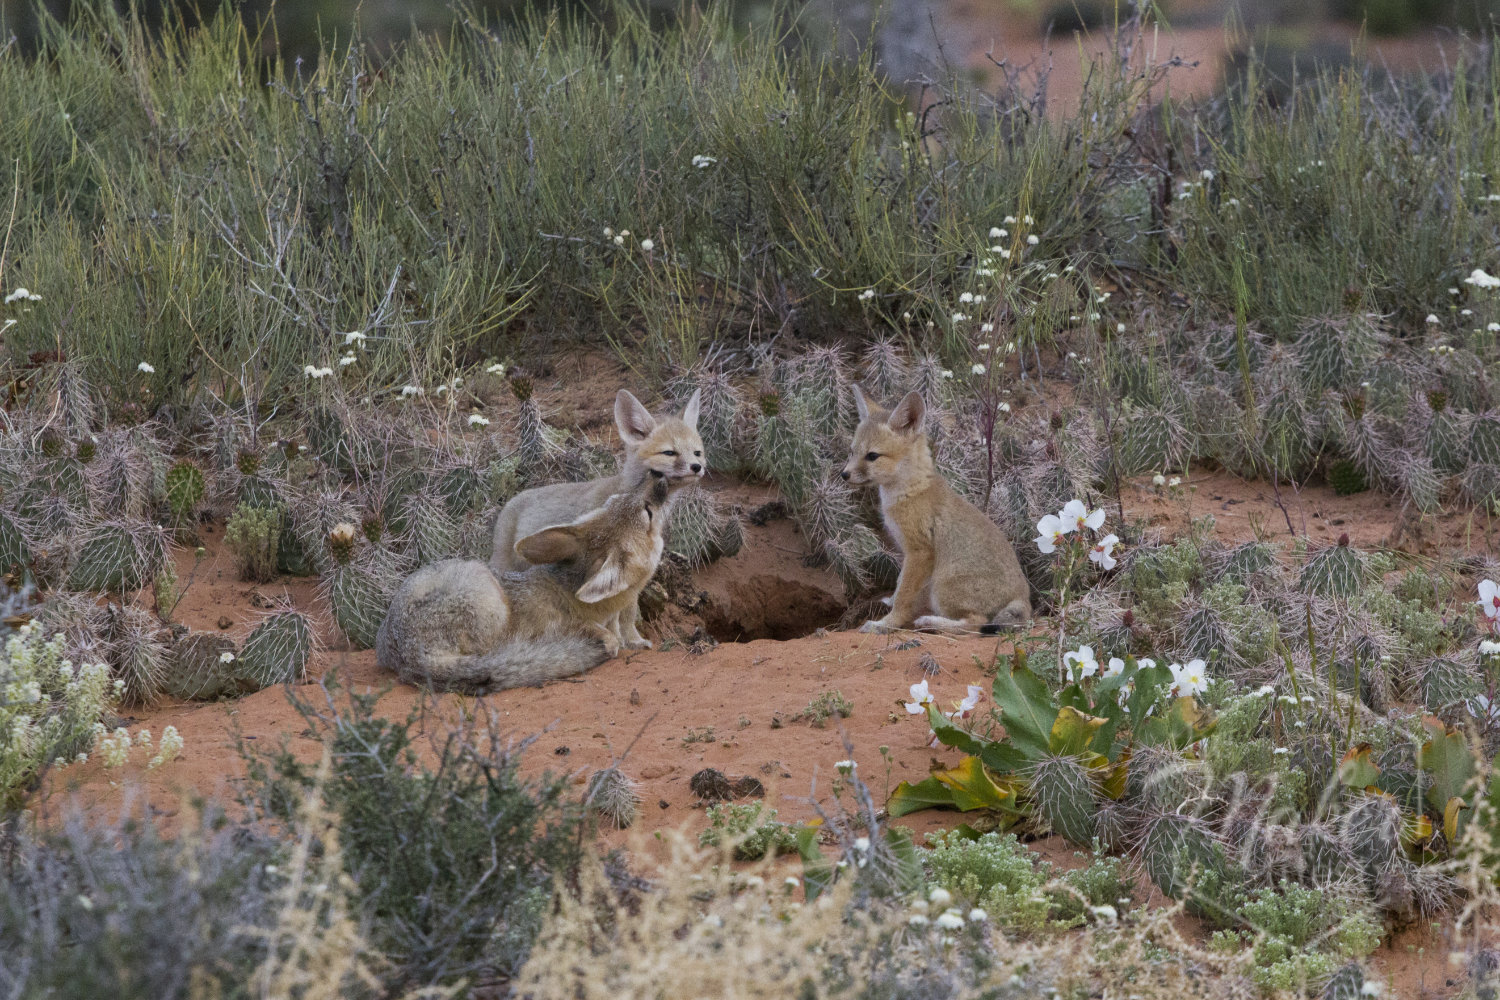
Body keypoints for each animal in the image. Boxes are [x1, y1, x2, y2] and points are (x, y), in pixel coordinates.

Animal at [377, 474, 670, 694]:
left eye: (616, 498)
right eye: (648, 512)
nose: (659, 478)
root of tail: (407, 654)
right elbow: (603, 636)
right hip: (487, 591)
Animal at [490, 388, 703, 650]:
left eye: (697, 452)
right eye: (670, 452)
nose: (697, 466)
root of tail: (512, 500)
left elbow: (627, 611)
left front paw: (632, 640)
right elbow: (618, 614)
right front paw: (623, 640)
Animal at [840, 385, 1031, 634]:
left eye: (872, 456)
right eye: (852, 452)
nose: (844, 474)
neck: (910, 491)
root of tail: (1024, 598)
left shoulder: (919, 552)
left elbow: (904, 596)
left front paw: (886, 624)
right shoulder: (907, 553)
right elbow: (899, 584)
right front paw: (889, 602)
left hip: (941, 586)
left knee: (975, 623)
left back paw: (930, 622)